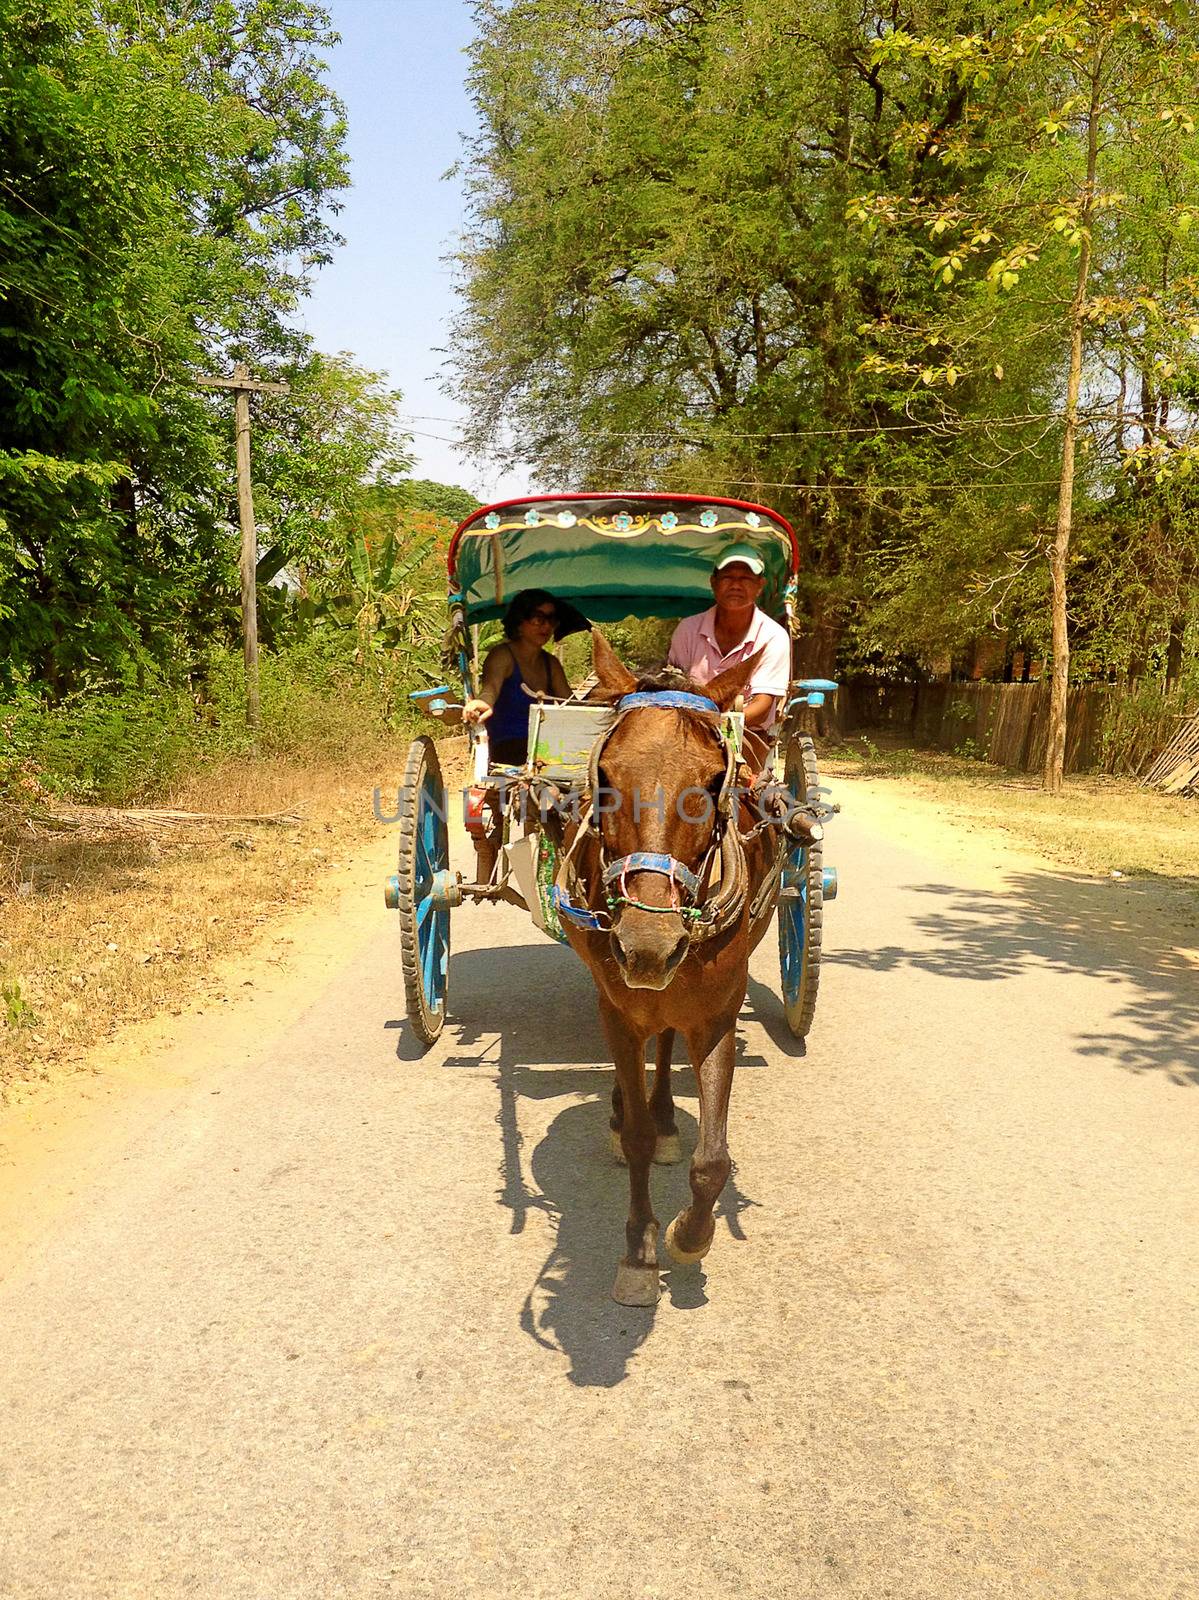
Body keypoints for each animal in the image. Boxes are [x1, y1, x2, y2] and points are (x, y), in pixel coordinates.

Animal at [560, 630, 781, 1305]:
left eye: (712, 782)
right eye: (605, 778)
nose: (648, 944)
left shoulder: (717, 1014)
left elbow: (714, 1158)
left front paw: (690, 1235)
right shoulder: (618, 1006)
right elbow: (632, 1137)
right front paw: (639, 1249)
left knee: (665, 1044)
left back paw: (664, 1118)